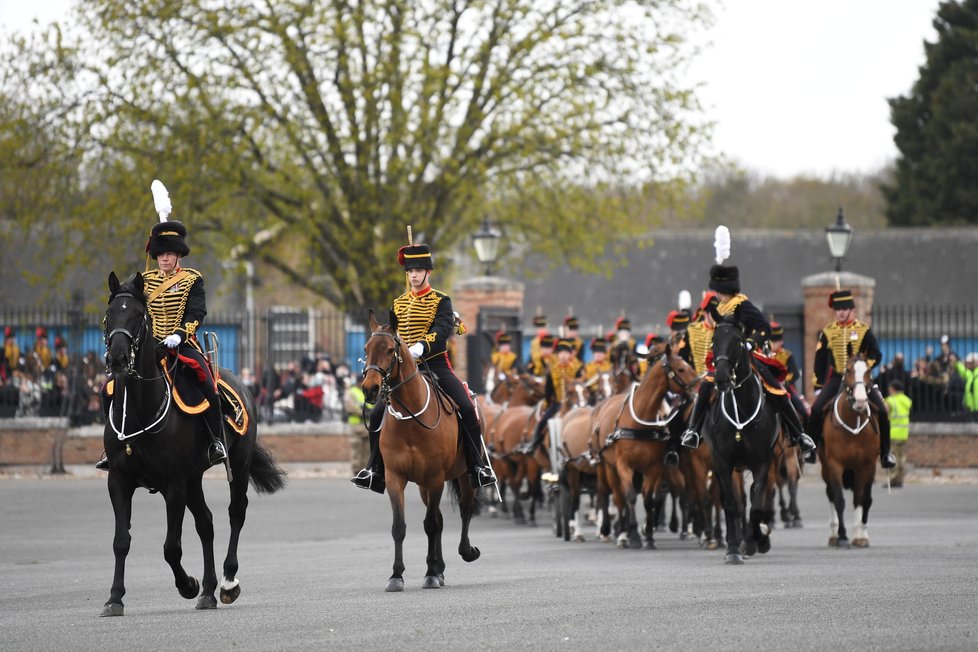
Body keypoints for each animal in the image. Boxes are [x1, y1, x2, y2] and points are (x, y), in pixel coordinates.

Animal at [102, 272, 286, 616]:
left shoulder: (173, 483)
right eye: (109, 315)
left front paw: (187, 585)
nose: (117, 359)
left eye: (138, 316)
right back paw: (209, 592)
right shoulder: (119, 481)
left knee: (235, 513)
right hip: (194, 478)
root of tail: (241, 382)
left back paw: (226, 582)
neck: (139, 409)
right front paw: (114, 598)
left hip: (236, 465)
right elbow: (121, 541)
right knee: (206, 523)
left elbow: (171, 547)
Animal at [358, 310, 480, 592]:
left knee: (465, 510)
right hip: (424, 485)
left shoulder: (435, 477)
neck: (411, 419)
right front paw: (396, 575)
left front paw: (431, 573)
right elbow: (400, 527)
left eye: (390, 349)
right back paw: (440, 568)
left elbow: (430, 524)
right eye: (366, 348)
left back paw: (464, 552)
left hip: (463, 476)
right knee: (441, 519)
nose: (370, 388)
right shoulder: (395, 477)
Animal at [592, 342, 696, 552]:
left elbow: (649, 500)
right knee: (612, 495)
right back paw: (616, 531)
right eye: (681, 369)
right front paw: (633, 535)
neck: (640, 419)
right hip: (606, 466)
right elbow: (630, 497)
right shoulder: (624, 465)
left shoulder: (653, 468)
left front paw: (648, 536)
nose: (699, 385)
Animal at [700, 318, 776, 564]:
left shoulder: (763, 462)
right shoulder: (722, 463)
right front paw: (733, 550)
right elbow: (731, 505)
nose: (722, 378)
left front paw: (753, 541)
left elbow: (757, 503)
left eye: (739, 342)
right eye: (714, 341)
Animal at [816, 354, 876, 548]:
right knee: (831, 494)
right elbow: (839, 500)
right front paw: (842, 536)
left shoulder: (865, 466)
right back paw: (834, 534)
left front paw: (860, 536)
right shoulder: (835, 464)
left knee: (865, 498)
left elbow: (860, 498)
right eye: (848, 370)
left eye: (868, 371)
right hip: (825, 468)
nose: (860, 401)